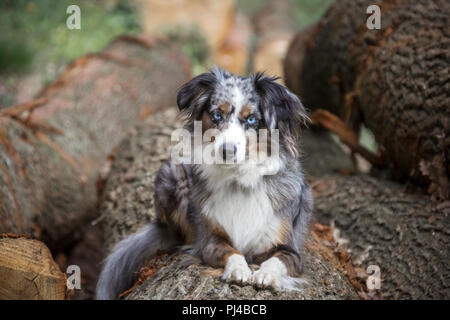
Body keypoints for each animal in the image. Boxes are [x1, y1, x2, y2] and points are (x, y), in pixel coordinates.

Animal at [95, 67, 312, 300]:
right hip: (173, 174)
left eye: (252, 119)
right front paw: (239, 269)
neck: (238, 179)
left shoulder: (290, 248)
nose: (227, 151)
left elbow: (278, 260)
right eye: (217, 115)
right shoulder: (209, 240)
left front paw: (265, 275)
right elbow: (231, 252)